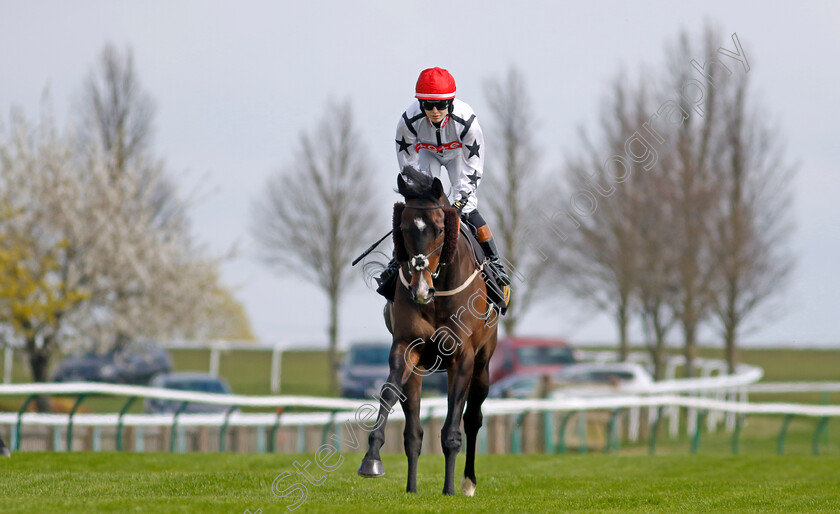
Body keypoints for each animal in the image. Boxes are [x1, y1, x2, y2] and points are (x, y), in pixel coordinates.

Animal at [356, 166, 498, 494]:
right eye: (403, 227)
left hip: (483, 363)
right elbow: (389, 395)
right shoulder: (406, 348)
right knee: (414, 431)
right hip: (420, 370)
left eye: (440, 228)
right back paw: (412, 487)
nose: (421, 289)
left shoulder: (462, 356)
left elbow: (452, 429)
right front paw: (372, 458)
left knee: (473, 417)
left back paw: (467, 482)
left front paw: (449, 490)